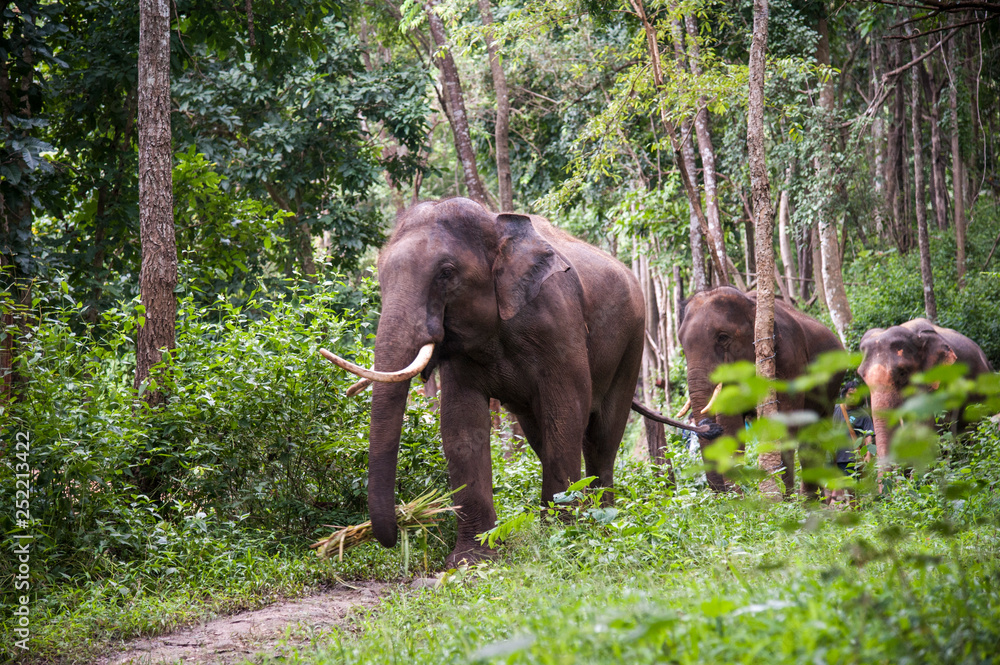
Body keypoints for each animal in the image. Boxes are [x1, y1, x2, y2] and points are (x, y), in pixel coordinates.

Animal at [321, 198, 717, 566]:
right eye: (380, 276)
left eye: (446, 273)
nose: (394, 530)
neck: (497, 225)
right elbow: (461, 426)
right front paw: (471, 559)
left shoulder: (559, 322)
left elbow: (567, 409)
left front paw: (561, 537)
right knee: (542, 435)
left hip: (633, 342)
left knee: (601, 436)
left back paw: (601, 518)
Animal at [677, 286, 845, 495]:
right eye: (682, 345)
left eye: (722, 337)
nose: (707, 425)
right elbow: (731, 427)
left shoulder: (789, 358)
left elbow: (785, 423)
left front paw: (783, 497)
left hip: (832, 387)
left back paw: (808, 500)